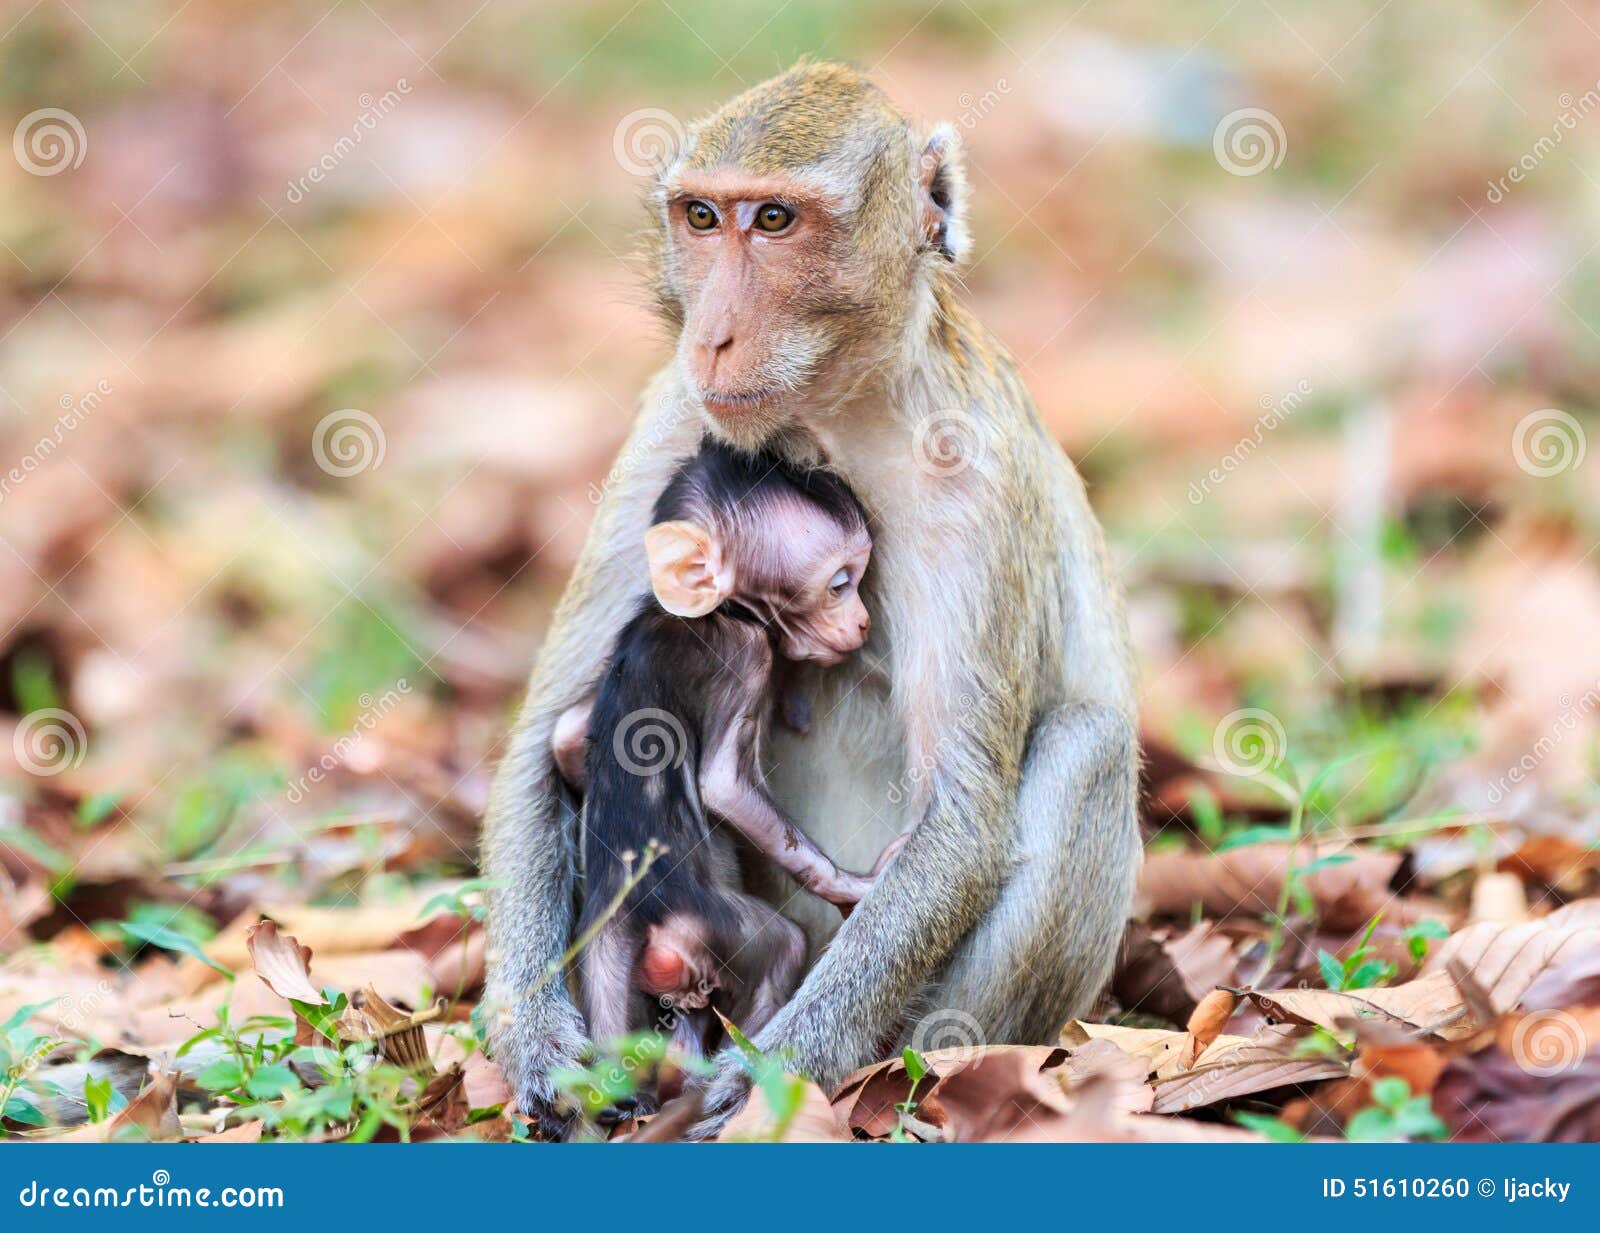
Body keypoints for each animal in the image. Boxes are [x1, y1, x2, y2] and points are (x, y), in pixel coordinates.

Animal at [560, 440, 898, 1105]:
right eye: (841, 584)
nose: (864, 622)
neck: (704, 614)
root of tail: (623, 911)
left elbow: (566, 735)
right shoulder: (744, 655)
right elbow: (722, 785)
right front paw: (855, 887)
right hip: (707, 927)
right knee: (782, 948)